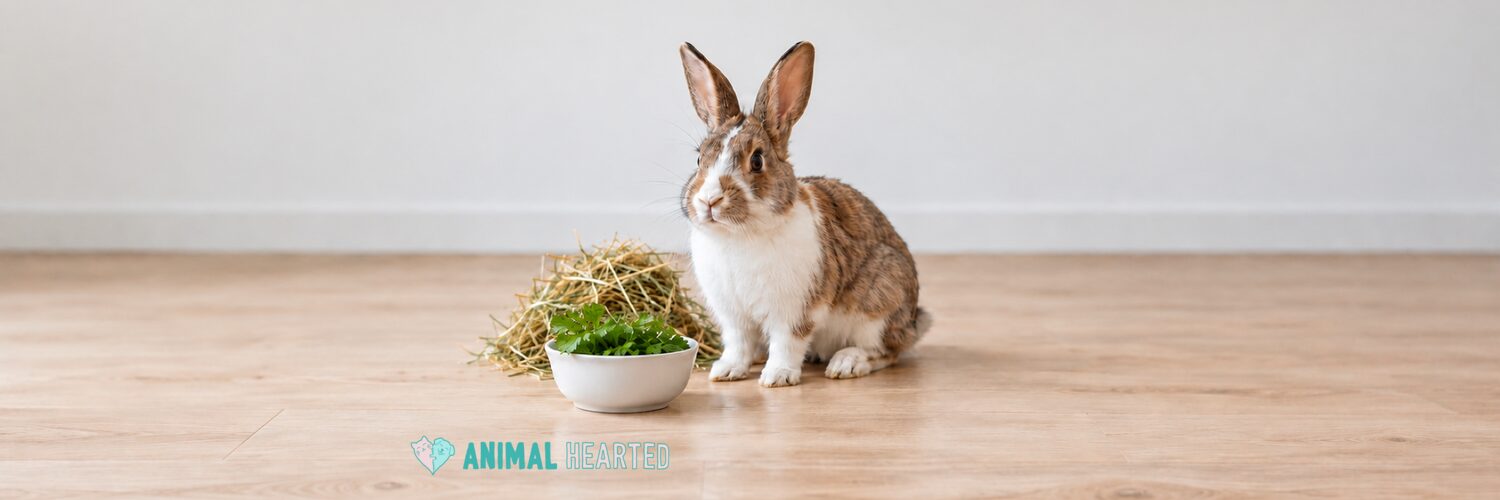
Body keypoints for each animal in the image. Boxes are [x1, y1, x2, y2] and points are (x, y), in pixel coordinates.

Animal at [677, 41, 932, 387]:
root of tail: (913, 322)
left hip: (878, 306)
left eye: (757, 160)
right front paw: (726, 371)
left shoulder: (795, 311)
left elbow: (787, 342)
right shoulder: (734, 317)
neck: (739, 235)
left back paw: (846, 363)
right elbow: (738, 344)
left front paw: (777, 377)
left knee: (884, 351)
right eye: (699, 157)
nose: (709, 201)